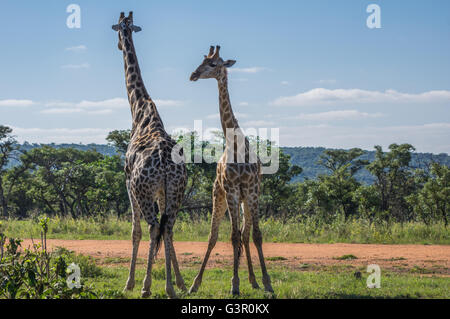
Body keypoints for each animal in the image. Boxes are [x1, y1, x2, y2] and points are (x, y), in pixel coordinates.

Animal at [112, 10, 188, 300]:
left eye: (117, 30)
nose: (119, 44)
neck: (139, 109)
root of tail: (166, 163)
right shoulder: (163, 192)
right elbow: (168, 232)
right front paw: (179, 282)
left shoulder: (128, 183)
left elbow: (134, 231)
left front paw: (130, 283)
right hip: (177, 190)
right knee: (168, 227)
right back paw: (170, 287)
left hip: (143, 191)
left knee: (154, 227)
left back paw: (146, 286)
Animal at [187, 45, 272, 298]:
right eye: (203, 61)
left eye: (214, 64)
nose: (193, 75)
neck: (235, 144)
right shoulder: (233, 191)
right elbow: (232, 237)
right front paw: (234, 284)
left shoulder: (252, 191)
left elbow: (255, 235)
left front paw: (267, 282)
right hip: (220, 195)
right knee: (214, 236)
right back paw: (195, 284)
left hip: (244, 200)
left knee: (245, 234)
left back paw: (253, 281)